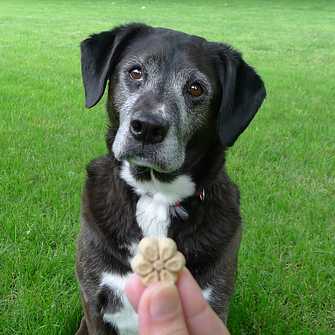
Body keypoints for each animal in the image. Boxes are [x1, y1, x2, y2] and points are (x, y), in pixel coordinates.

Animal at [75, 22, 266, 334]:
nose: (147, 128)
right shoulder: (94, 303)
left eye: (196, 88)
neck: (155, 194)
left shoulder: (215, 304)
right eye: (135, 72)